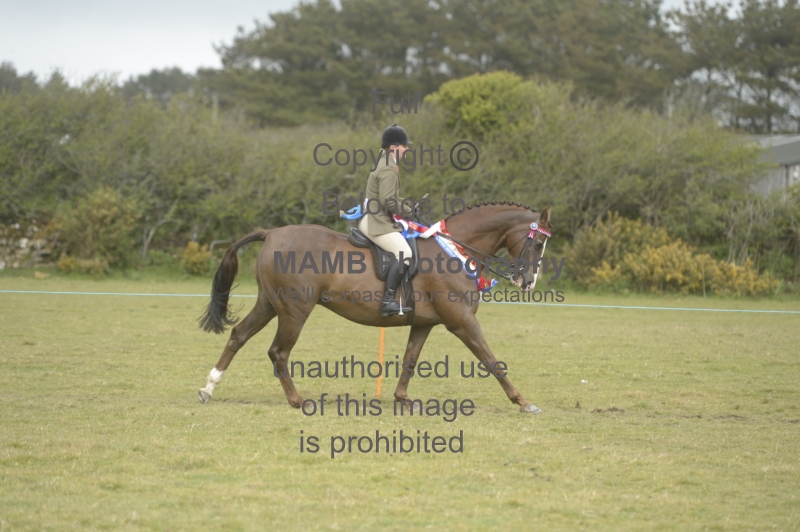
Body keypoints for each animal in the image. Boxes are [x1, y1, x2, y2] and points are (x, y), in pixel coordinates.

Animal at [197, 201, 552, 414]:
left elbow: (410, 360)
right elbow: (491, 360)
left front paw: (403, 399)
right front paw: (524, 402)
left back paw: (208, 388)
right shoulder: (462, 322)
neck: (454, 250)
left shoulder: (424, 323)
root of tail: (270, 233)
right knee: (278, 352)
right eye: (537, 243)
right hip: (295, 311)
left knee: (238, 335)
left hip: (270, 304)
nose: (528, 282)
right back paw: (297, 400)